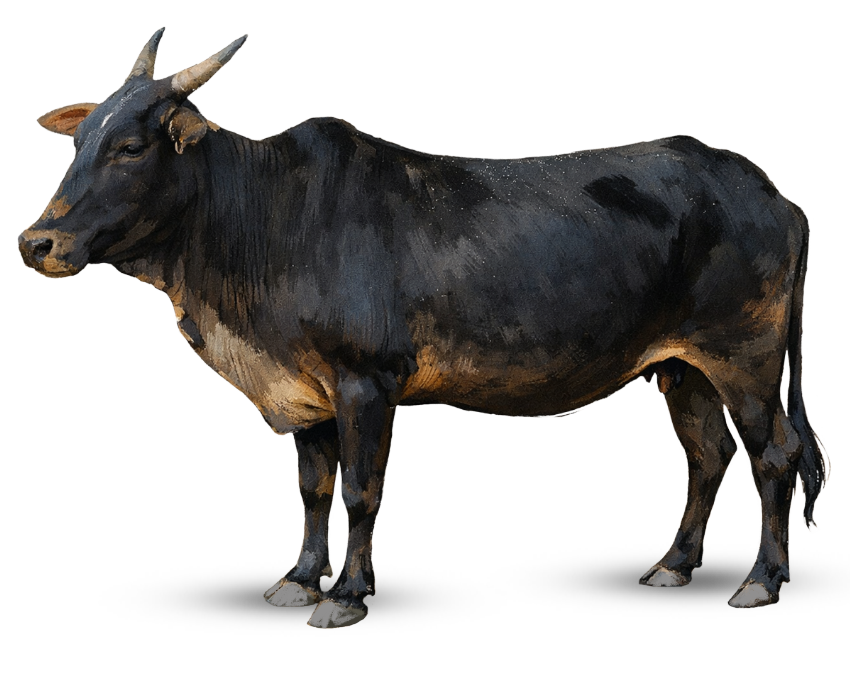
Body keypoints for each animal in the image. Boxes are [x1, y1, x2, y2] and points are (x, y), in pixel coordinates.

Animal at [18, 29, 829, 629]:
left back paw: (760, 583)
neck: (261, 225)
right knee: (708, 453)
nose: (36, 241)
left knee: (774, 456)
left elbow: (358, 492)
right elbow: (312, 489)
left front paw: (345, 598)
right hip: (681, 363)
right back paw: (673, 567)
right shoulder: (305, 392)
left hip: (747, 356)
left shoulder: (365, 382)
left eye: (130, 146)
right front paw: (300, 580)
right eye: (79, 141)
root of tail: (774, 196)